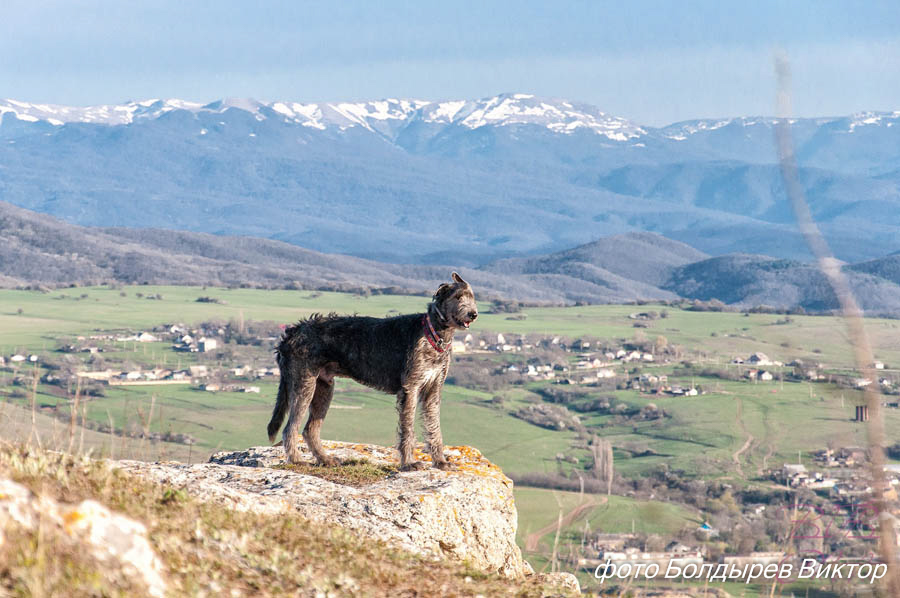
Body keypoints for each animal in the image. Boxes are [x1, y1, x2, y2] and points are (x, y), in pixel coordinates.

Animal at [268, 274, 478, 474]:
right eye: (457, 297)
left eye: (472, 297)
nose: (473, 314)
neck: (434, 333)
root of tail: (292, 332)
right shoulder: (410, 388)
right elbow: (407, 428)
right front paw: (409, 463)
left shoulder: (433, 390)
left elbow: (434, 427)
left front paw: (441, 462)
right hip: (304, 384)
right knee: (290, 428)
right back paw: (297, 460)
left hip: (324, 388)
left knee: (310, 430)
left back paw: (325, 459)